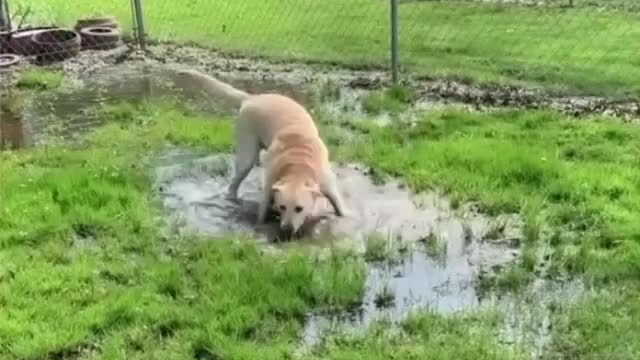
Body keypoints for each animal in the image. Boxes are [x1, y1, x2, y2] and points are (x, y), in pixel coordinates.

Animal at [175, 69, 348, 236]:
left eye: (299, 208)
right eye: (282, 207)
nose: (287, 230)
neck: (298, 164)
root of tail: (252, 98)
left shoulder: (327, 183)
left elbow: (339, 206)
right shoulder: (270, 185)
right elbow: (263, 209)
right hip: (246, 150)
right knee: (236, 181)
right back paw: (232, 197)